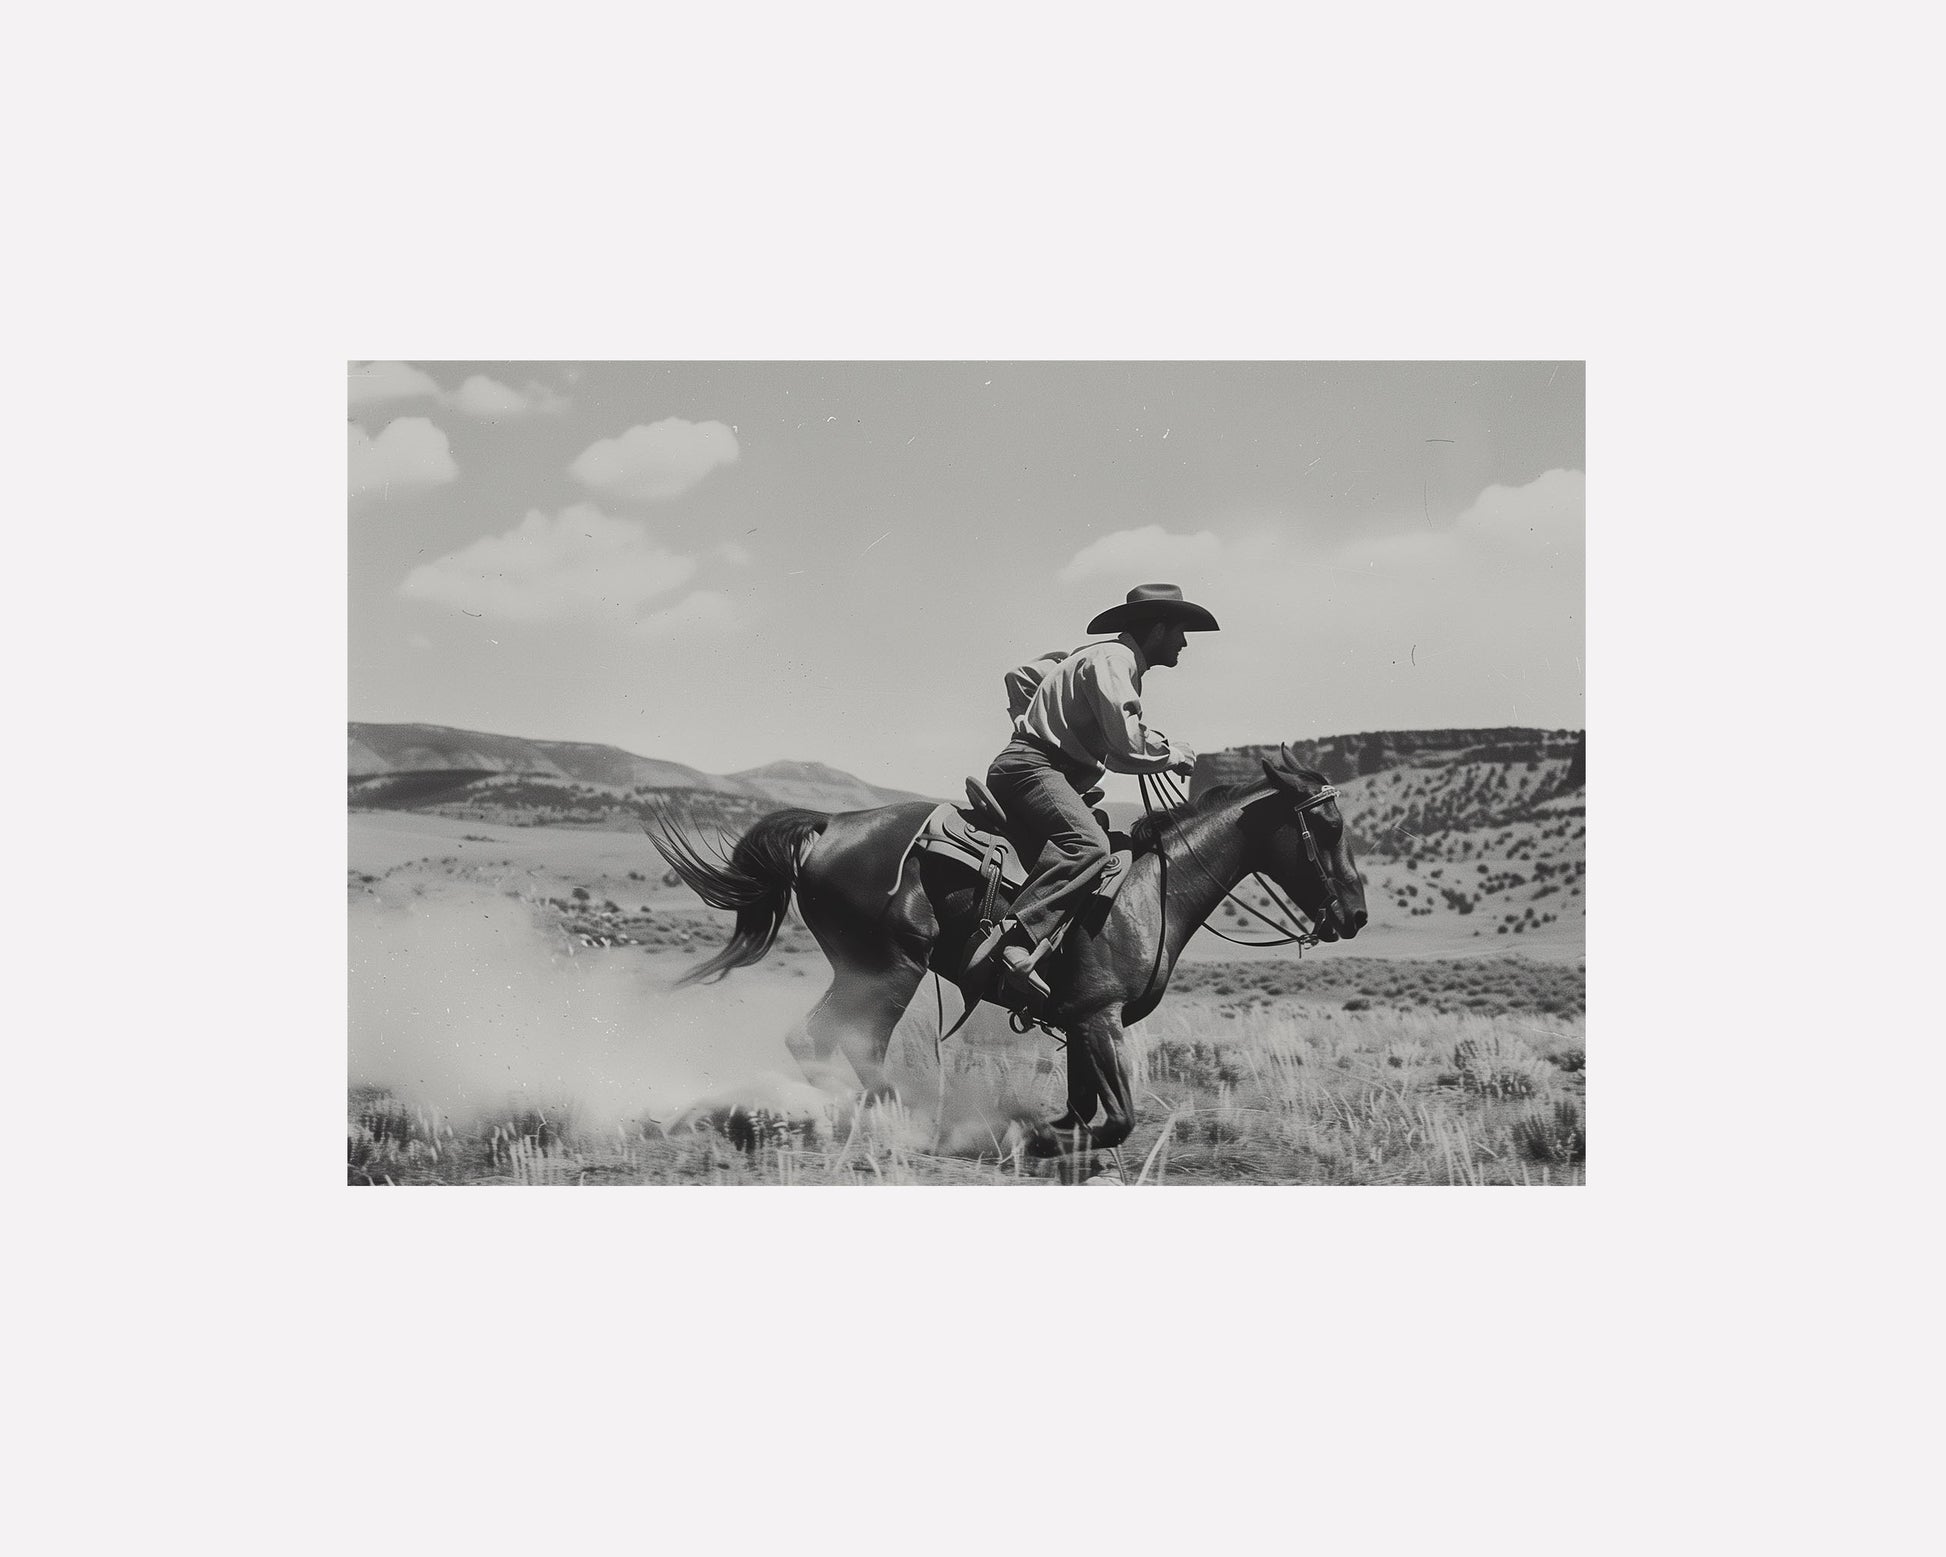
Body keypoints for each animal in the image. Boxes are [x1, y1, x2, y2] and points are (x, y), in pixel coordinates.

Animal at [653, 747, 1369, 1159]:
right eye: (1328, 825)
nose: (1355, 915)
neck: (1152, 890)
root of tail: (830, 825)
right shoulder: (1100, 1018)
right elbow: (1114, 1120)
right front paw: (1032, 1139)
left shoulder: (1080, 1022)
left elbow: (1084, 1111)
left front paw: (1047, 1136)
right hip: (888, 967)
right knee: (843, 1040)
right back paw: (901, 1122)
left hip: (866, 968)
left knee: (816, 1039)